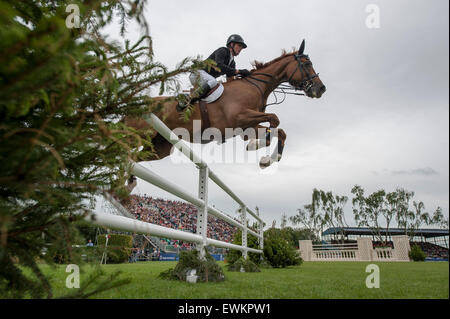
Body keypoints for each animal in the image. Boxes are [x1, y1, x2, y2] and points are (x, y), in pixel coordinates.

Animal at [125, 40, 326, 175]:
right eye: (307, 64)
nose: (321, 89)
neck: (256, 86)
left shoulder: (247, 126)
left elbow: (281, 132)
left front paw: (265, 159)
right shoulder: (239, 118)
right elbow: (274, 120)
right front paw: (256, 145)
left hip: (159, 147)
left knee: (132, 159)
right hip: (137, 135)